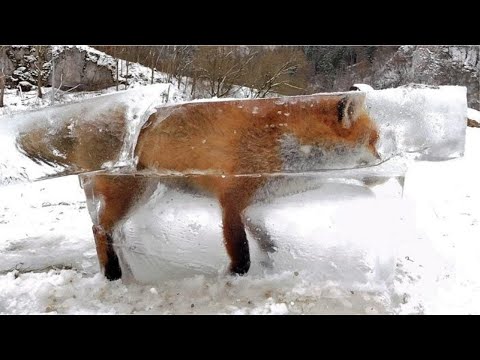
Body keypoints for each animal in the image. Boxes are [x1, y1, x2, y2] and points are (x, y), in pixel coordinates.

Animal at [16, 90, 380, 282]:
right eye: (374, 142)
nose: (383, 162)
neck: (281, 141)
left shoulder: (252, 204)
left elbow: (264, 238)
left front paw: (272, 257)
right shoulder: (231, 199)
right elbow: (241, 250)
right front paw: (234, 274)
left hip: (141, 194)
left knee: (107, 227)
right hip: (131, 192)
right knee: (99, 228)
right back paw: (113, 272)